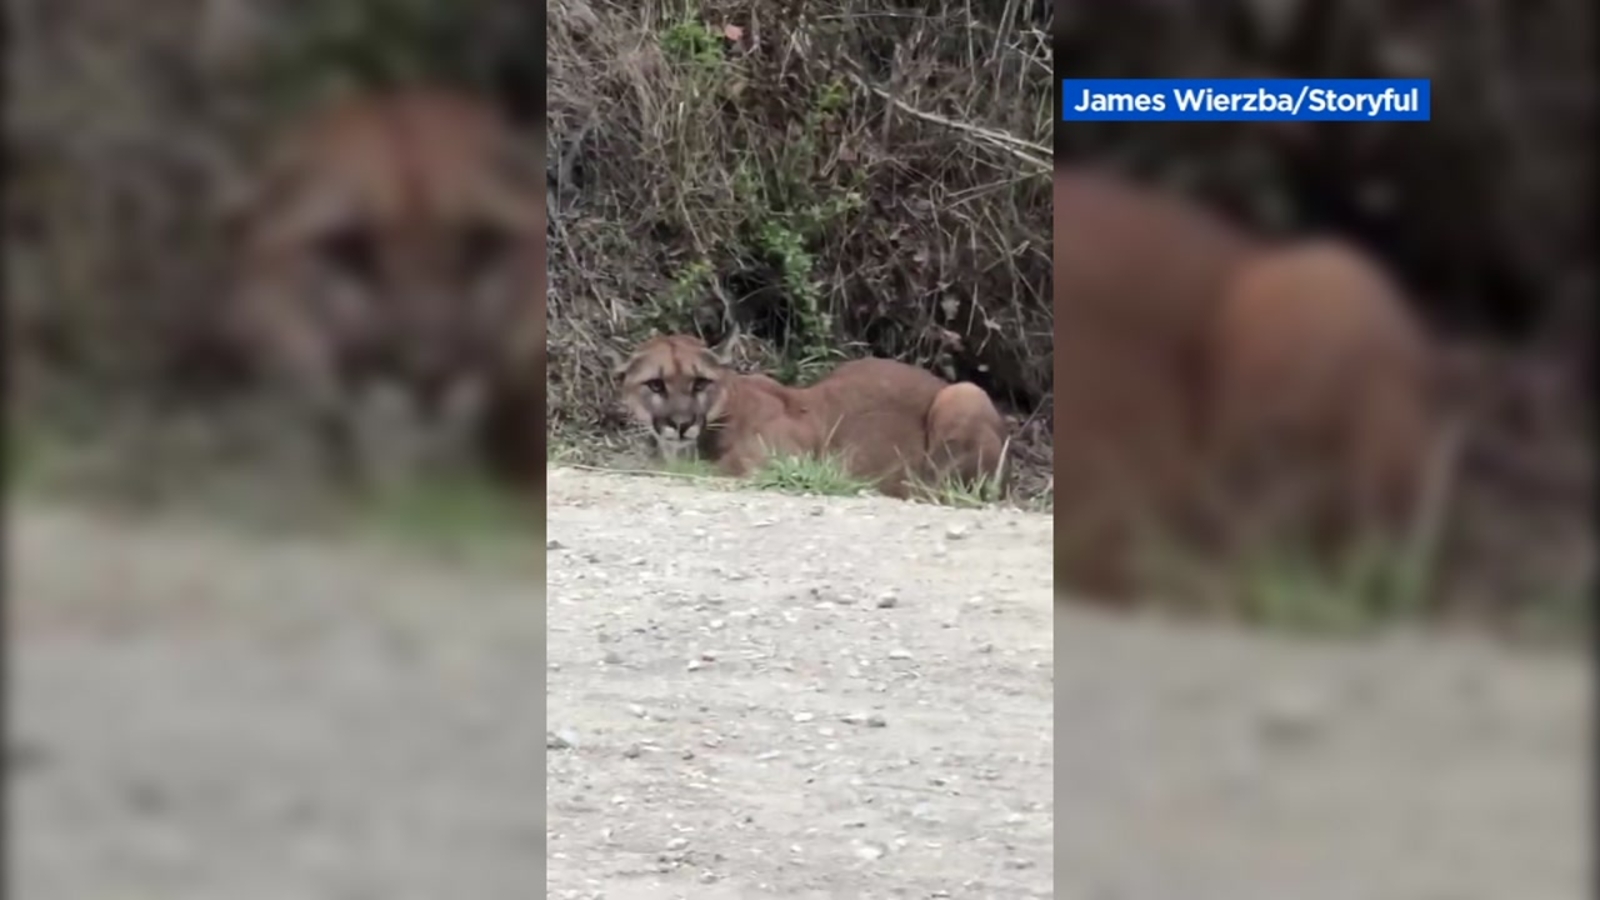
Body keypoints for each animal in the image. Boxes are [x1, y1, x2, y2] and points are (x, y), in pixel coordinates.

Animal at [617, 334, 1008, 498]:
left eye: (700, 382)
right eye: (655, 385)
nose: (681, 424)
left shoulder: (787, 455)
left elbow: (719, 468)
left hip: (965, 393)